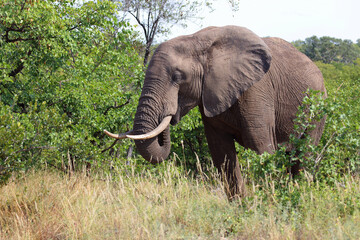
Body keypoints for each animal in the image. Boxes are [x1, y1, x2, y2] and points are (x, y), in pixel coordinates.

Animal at [103, 25, 326, 200]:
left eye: (177, 76)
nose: (170, 113)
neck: (197, 40)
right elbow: (221, 152)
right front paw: (241, 207)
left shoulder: (256, 89)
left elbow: (261, 147)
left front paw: (267, 204)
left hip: (318, 107)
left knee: (303, 157)